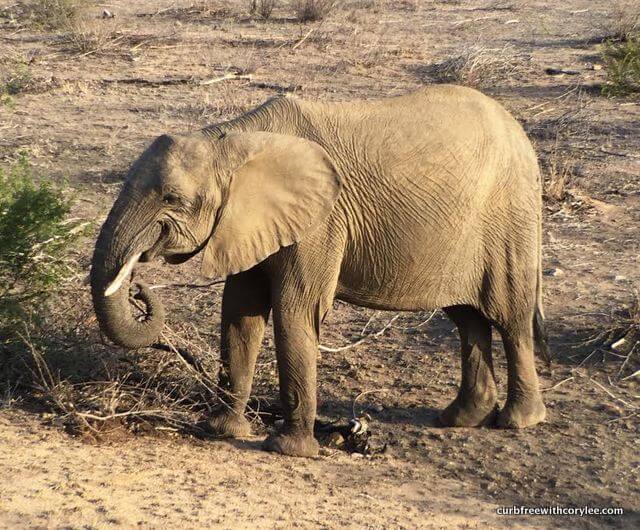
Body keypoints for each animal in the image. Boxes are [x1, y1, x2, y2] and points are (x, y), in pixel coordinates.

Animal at [91, 86, 550, 457]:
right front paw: (221, 431)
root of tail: (520, 135)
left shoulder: (320, 222)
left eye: (171, 198)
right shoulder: (249, 222)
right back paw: (460, 419)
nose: (138, 287)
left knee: (509, 315)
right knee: (467, 317)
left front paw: (288, 449)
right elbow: (240, 313)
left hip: (509, 217)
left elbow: (295, 310)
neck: (234, 140)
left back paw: (519, 421)